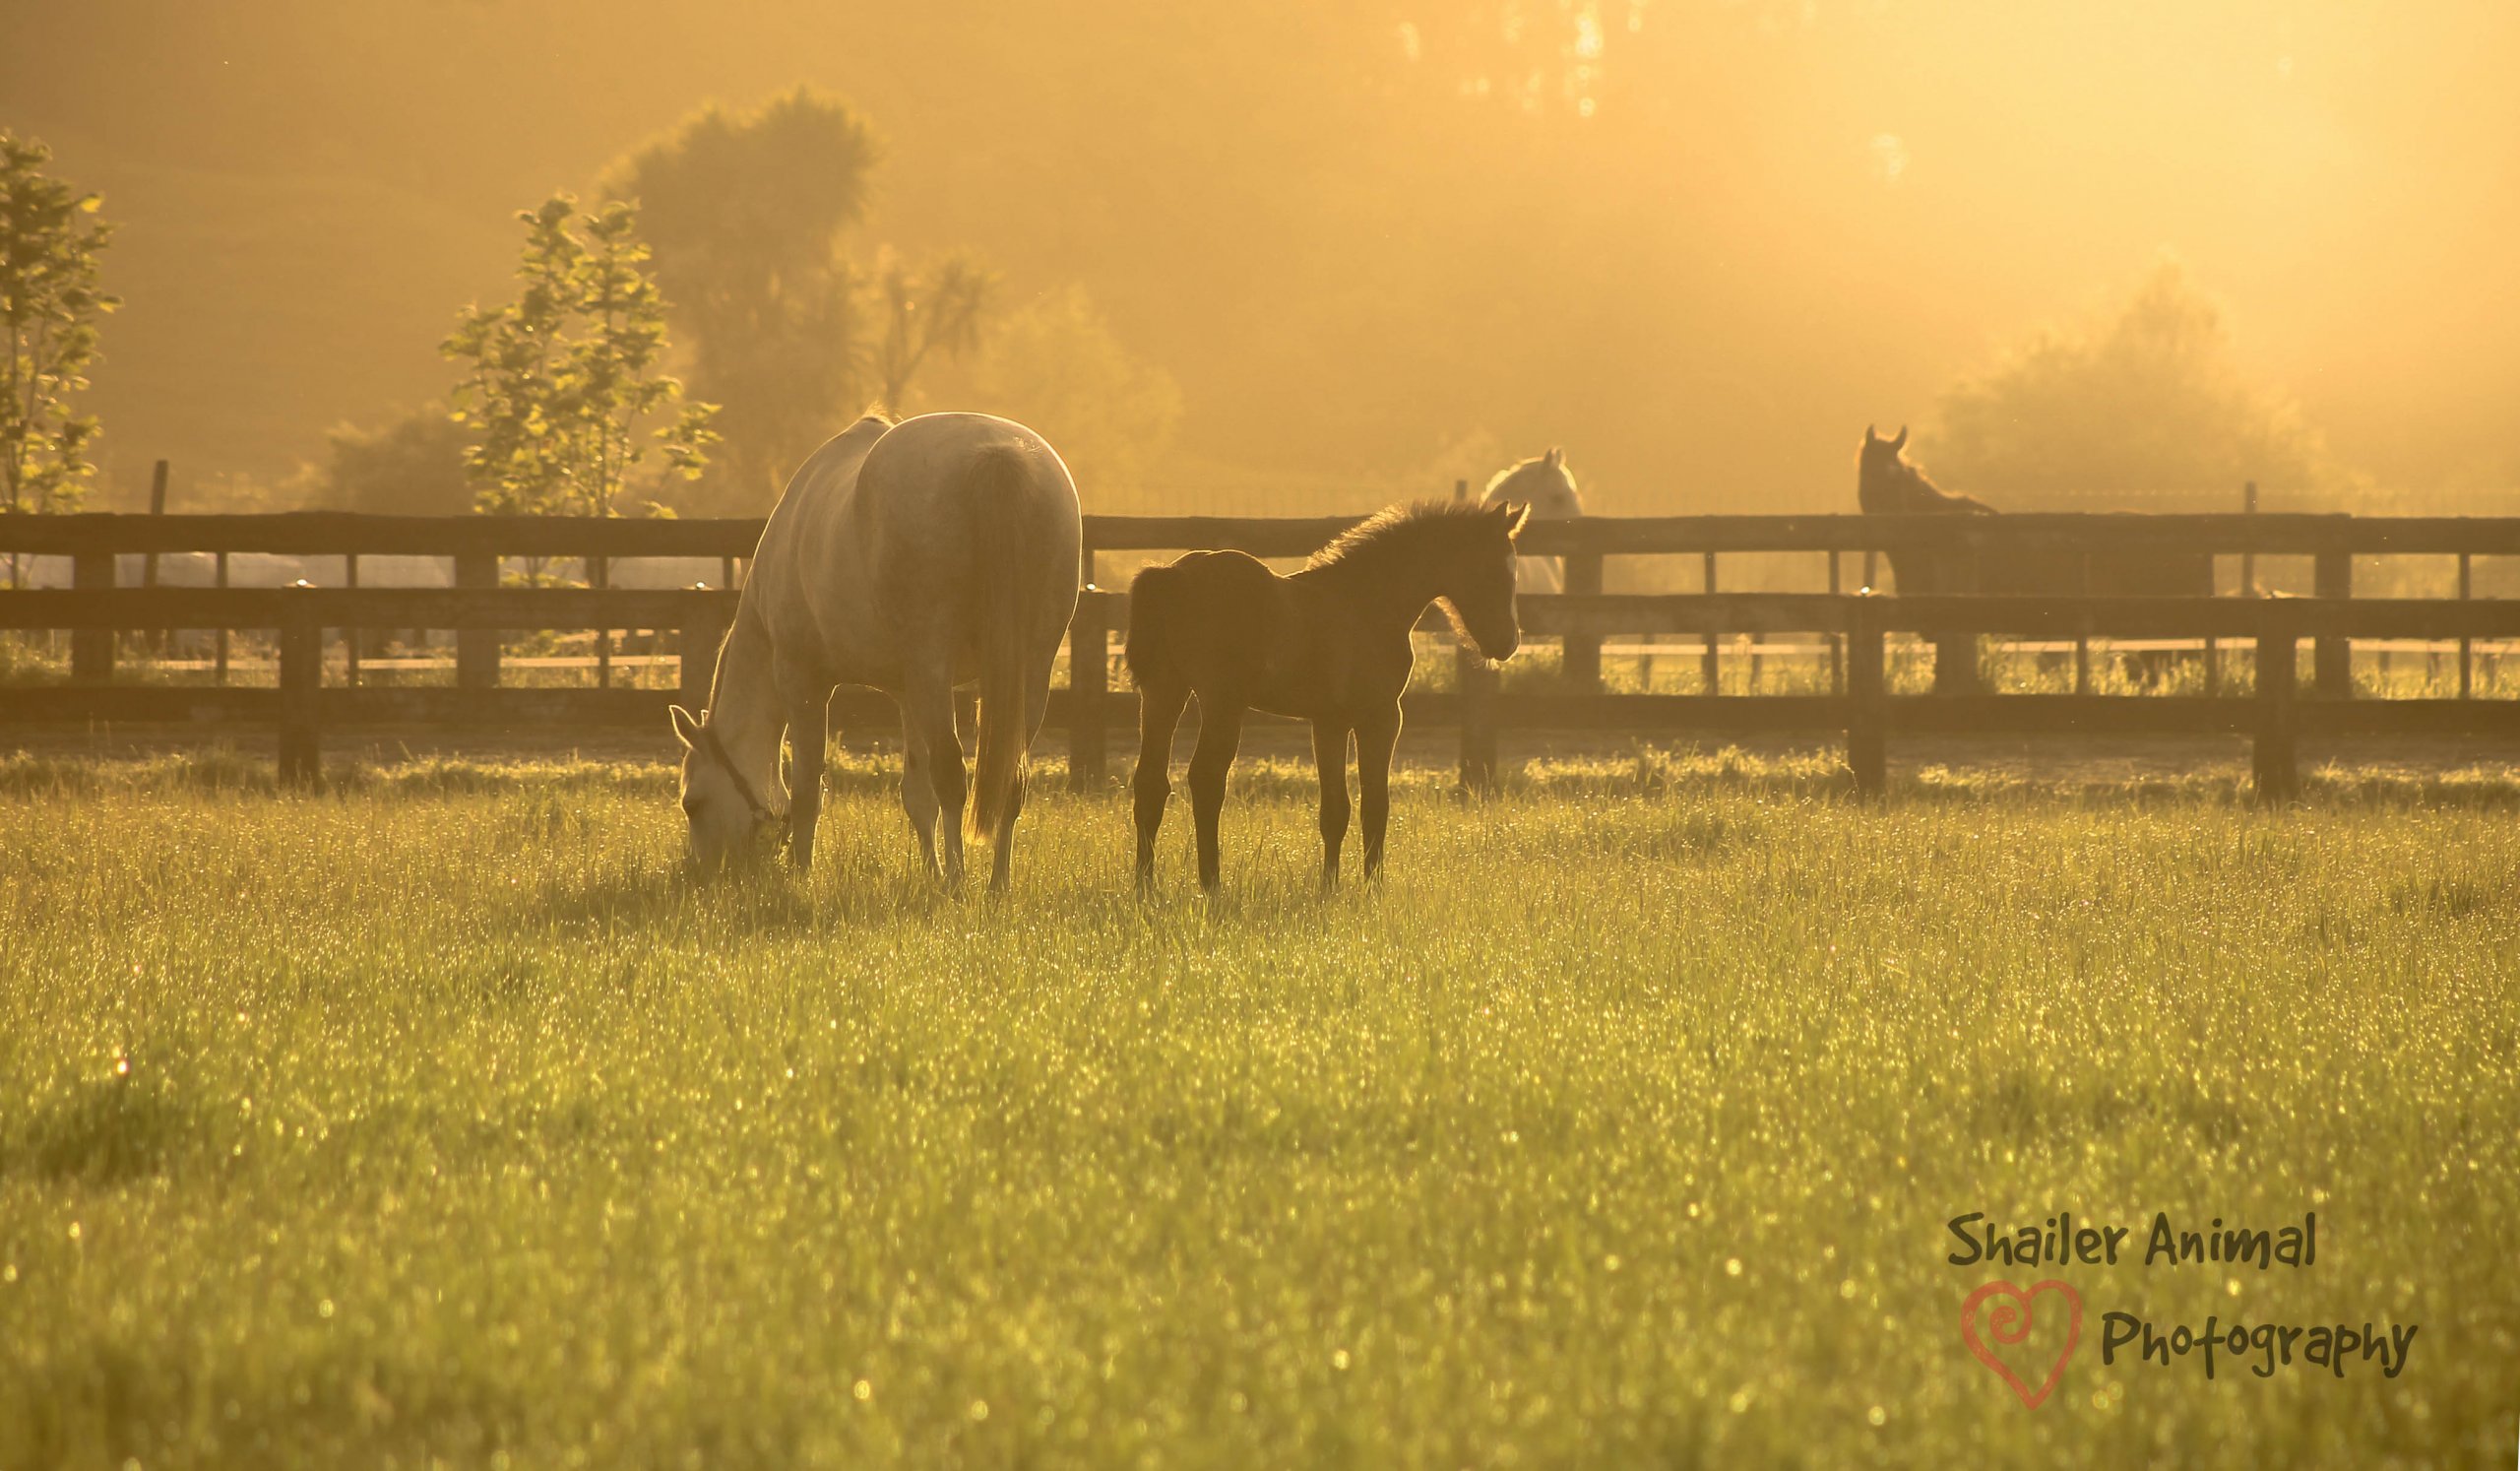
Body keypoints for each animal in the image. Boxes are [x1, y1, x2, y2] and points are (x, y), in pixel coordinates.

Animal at [680, 413, 1083, 896]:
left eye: (692, 803)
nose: (700, 875)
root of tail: (997, 454)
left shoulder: (804, 684)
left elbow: (807, 791)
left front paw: (801, 874)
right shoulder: (908, 693)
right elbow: (917, 795)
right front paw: (931, 871)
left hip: (935, 667)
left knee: (952, 774)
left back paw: (959, 883)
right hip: (1027, 673)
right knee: (1010, 780)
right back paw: (996, 885)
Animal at [1128, 498, 1522, 891]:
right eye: (1496, 571)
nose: (1507, 642)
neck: (1366, 602)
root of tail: (1175, 575)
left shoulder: (1329, 722)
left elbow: (1335, 811)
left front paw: (1329, 887)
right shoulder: (1382, 717)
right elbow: (1375, 806)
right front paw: (1372, 888)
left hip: (1163, 692)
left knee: (1150, 782)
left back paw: (1145, 885)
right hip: (1221, 703)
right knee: (1206, 779)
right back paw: (1211, 884)